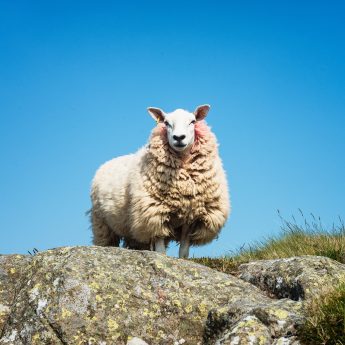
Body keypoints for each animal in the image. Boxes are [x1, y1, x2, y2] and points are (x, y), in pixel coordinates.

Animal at [91, 105, 230, 258]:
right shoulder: (155, 215)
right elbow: (161, 251)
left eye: (192, 121)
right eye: (166, 123)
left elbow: (184, 251)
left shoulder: (191, 217)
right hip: (103, 224)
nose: (179, 138)